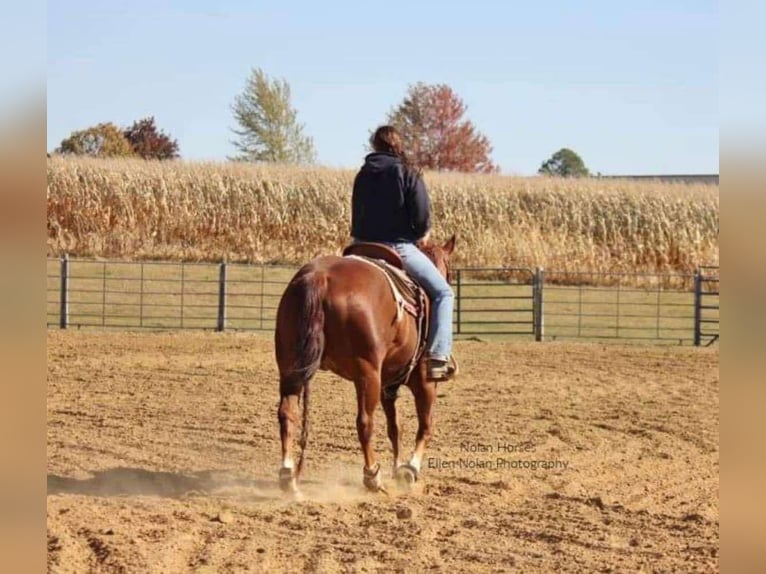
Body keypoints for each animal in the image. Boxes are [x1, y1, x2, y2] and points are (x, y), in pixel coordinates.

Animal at [276, 236, 456, 498]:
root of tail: (319, 277)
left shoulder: (387, 385)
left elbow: (395, 428)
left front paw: (397, 468)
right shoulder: (424, 380)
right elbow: (425, 425)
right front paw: (409, 470)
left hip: (290, 367)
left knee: (287, 413)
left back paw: (288, 477)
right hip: (367, 373)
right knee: (364, 422)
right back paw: (372, 476)